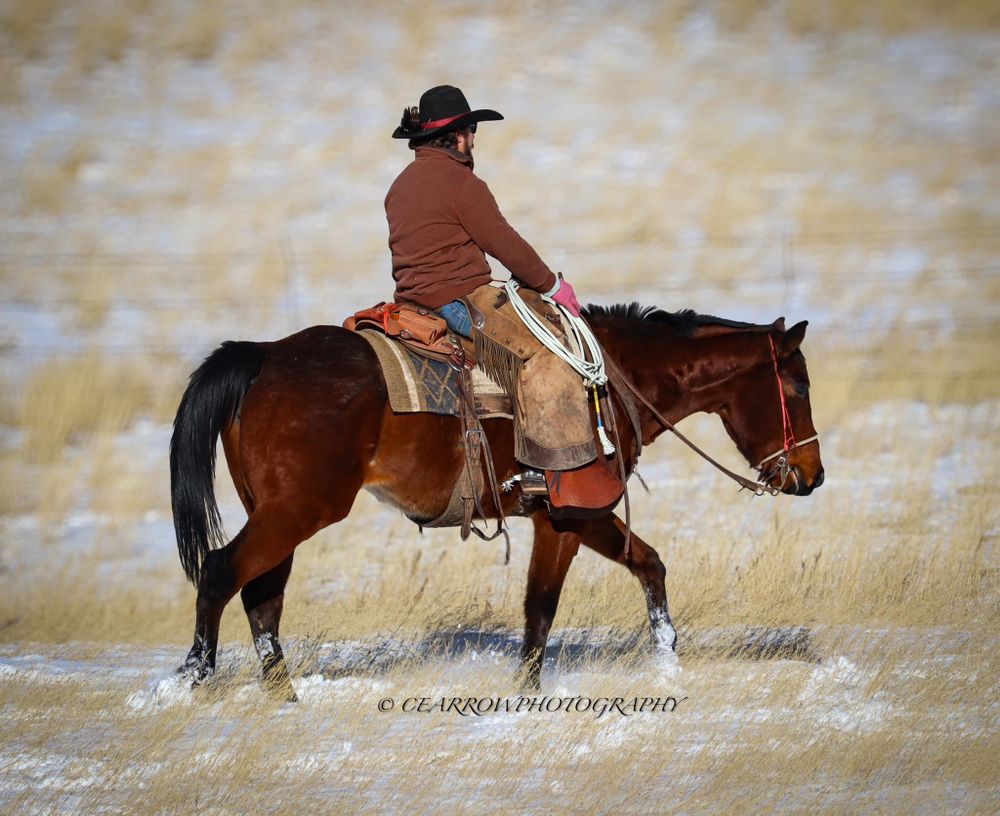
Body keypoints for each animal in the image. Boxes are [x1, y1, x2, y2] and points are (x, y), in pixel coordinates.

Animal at [170, 303, 824, 697]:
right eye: (797, 386)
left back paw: (283, 694)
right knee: (222, 573)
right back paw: (193, 676)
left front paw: (665, 659)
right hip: (297, 512)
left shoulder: (570, 518)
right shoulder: (571, 515)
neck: (610, 383)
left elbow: (644, 565)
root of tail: (262, 354)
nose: (812, 476)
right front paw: (529, 693)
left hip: (276, 513)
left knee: (262, 596)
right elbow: (544, 605)